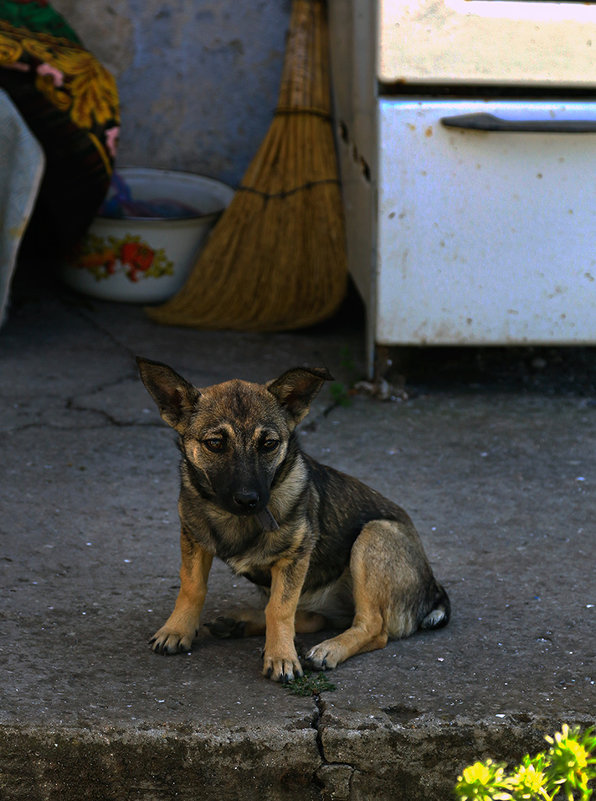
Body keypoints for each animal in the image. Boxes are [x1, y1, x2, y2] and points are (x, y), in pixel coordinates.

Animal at [137, 360, 450, 680]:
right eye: (214, 443)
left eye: (269, 444)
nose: (248, 499)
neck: (236, 518)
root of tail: (434, 589)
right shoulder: (193, 537)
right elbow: (192, 587)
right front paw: (177, 630)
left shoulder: (294, 557)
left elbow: (279, 609)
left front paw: (281, 657)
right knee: (315, 618)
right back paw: (240, 623)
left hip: (374, 535)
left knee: (374, 627)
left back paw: (328, 650)